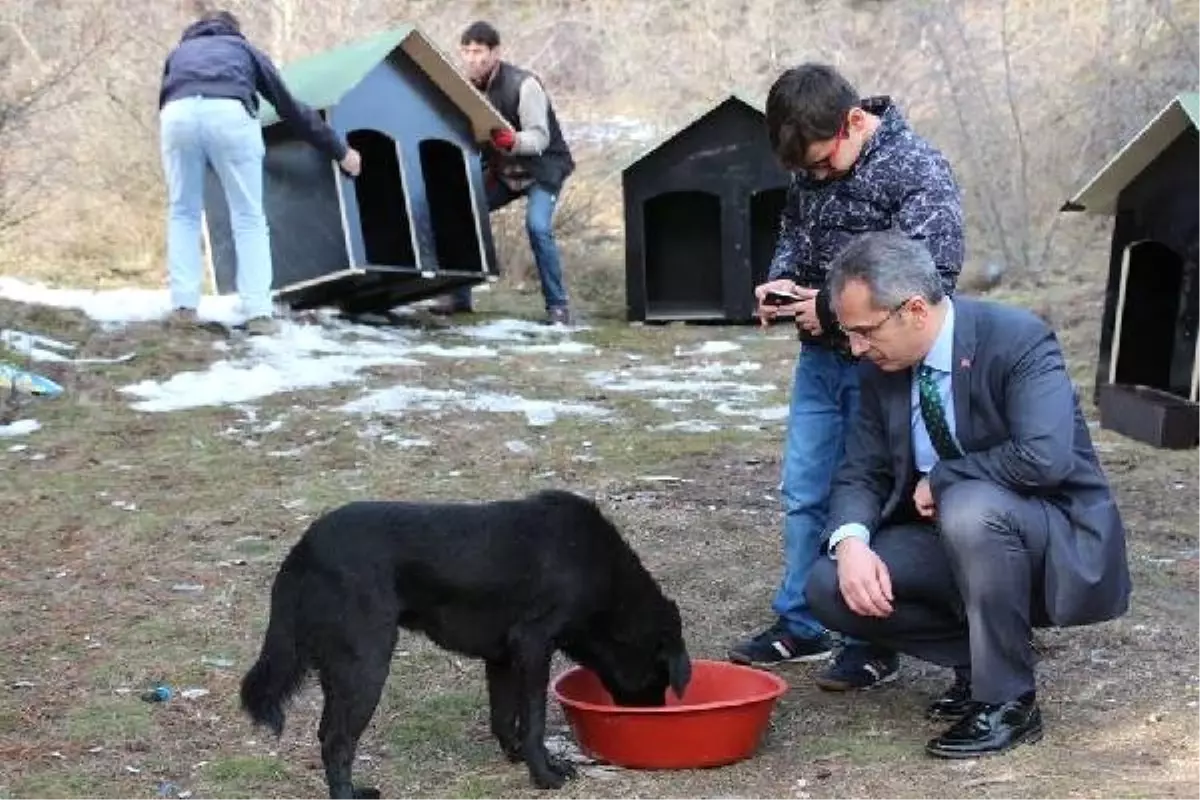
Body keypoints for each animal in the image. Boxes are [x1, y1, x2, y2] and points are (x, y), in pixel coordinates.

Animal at [238, 491, 691, 796]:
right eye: (659, 680)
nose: (655, 719)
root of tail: (303, 549)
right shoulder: (534, 644)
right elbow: (534, 720)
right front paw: (545, 775)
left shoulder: (504, 657)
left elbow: (505, 718)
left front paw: (518, 757)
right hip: (366, 663)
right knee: (336, 740)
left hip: (340, 667)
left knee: (328, 735)